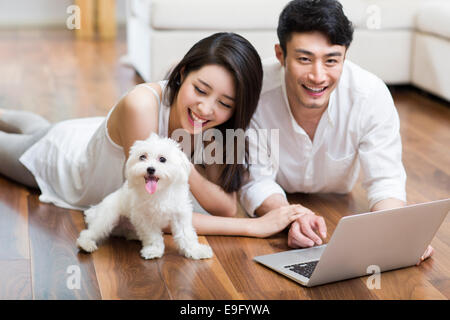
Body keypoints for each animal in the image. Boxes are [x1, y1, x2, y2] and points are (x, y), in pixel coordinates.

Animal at [76, 132, 213, 260]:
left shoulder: (180, 214)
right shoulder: (144, 218)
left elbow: (186, 234)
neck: (159, 192)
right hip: (107, 217)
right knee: (92, 231)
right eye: (142, 157)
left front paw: (195, 250)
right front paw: (154, 250)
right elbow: (152, 235)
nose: (150, 169)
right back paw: (85, 244)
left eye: (162, 159)